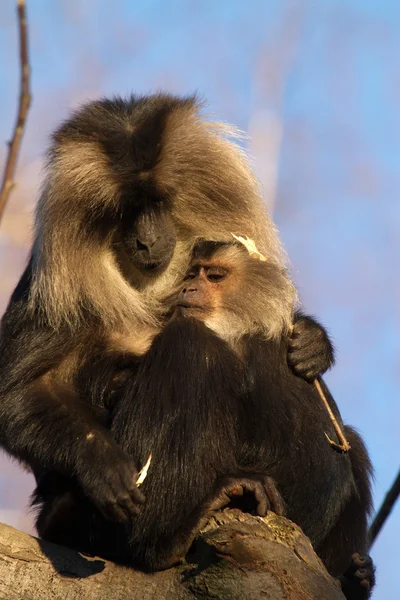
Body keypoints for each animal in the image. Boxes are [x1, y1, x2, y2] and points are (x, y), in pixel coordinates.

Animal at [0, 90, 334, 524]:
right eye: (126, 210)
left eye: (158, 200)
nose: (146, 241)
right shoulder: (54, 293)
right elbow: (14, 396)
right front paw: (103, 464)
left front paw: (312, 340)